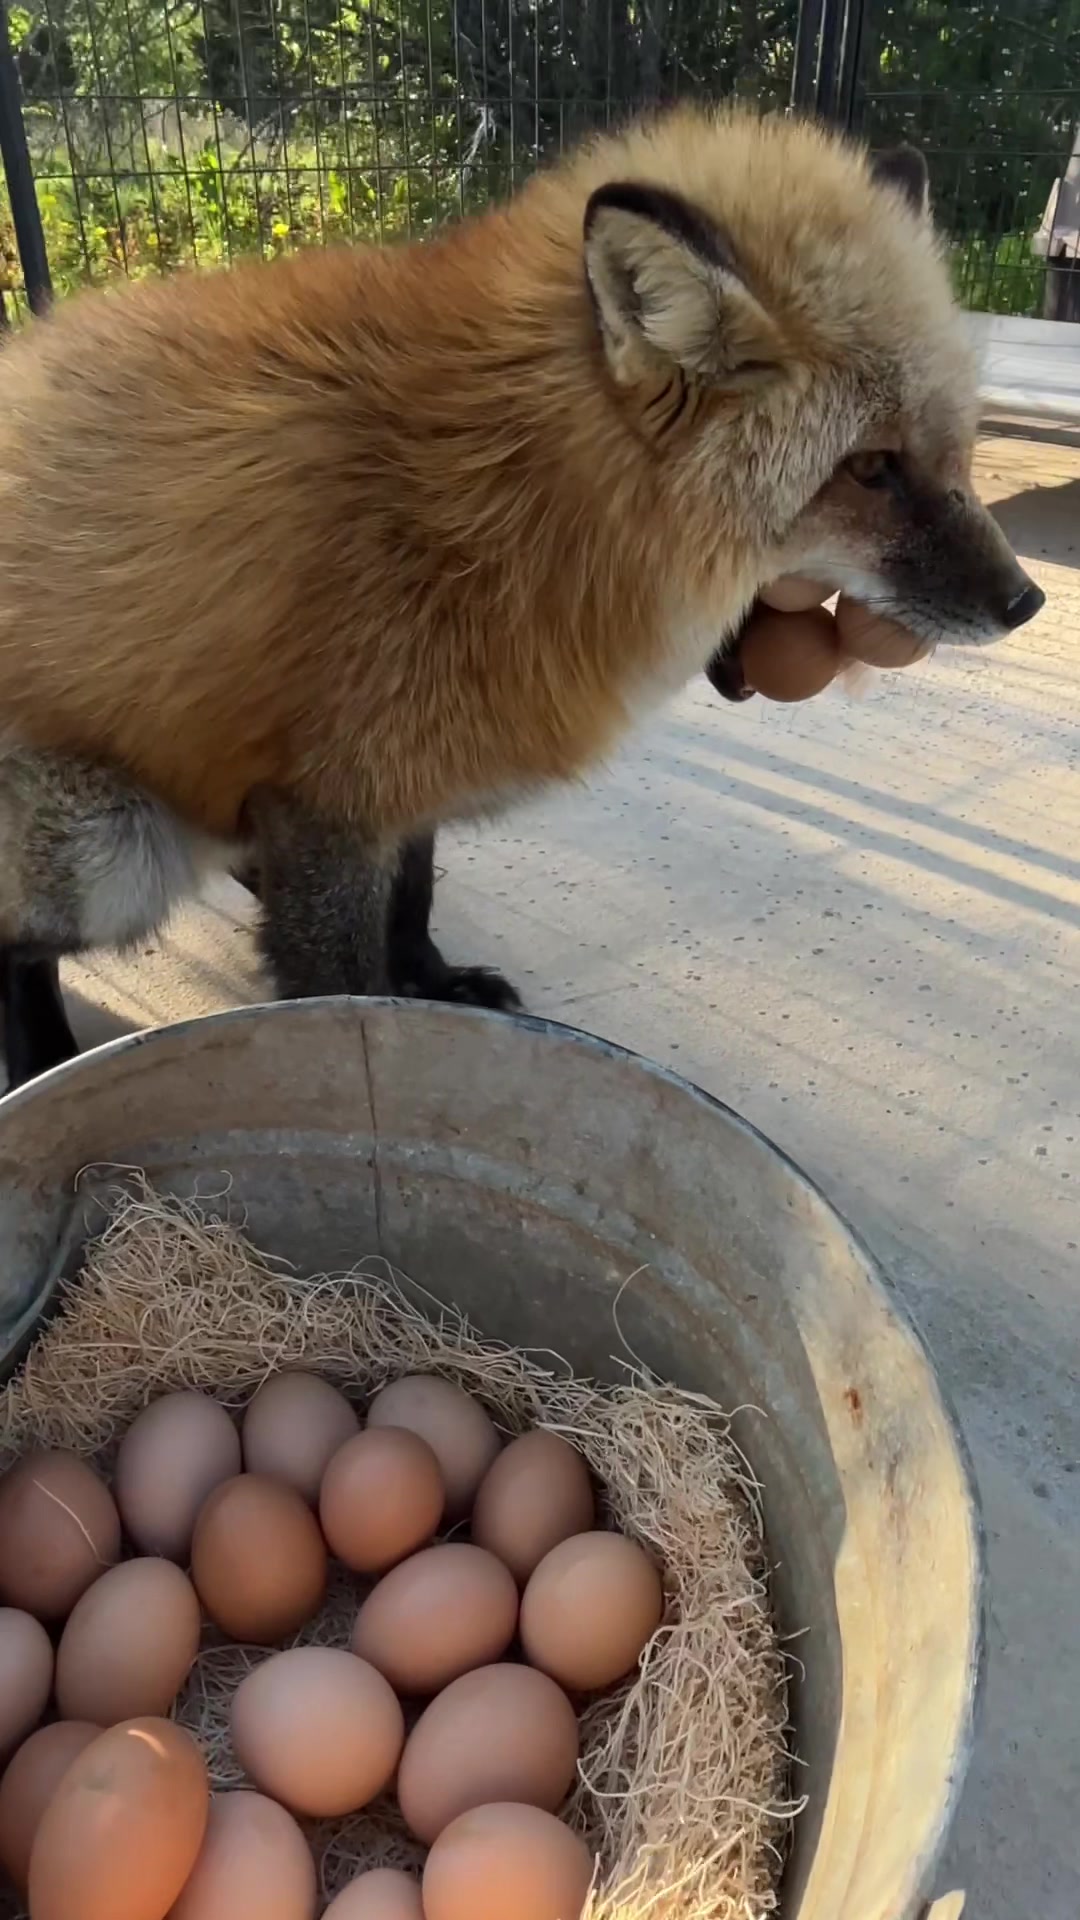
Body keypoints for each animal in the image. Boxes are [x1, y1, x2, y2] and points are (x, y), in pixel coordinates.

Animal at [0, 106, 1043, 1088]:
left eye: (957, 447)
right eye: (870, 468)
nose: (1026, 604)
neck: (502, 496)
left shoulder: (398, 773)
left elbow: (413, 896)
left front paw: (432, 984)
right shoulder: (330, 801)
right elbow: (337, 986)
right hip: (109, 845)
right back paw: (42, 1059)